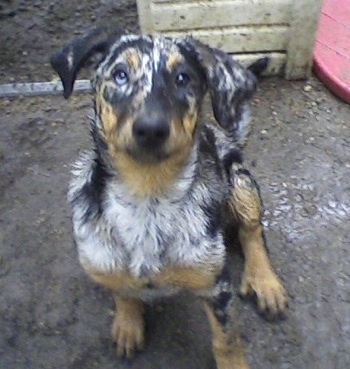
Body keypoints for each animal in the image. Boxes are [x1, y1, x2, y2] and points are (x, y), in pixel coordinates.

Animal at [51, 26, 288, 368]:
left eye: (183, 78)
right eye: (120, 74)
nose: (151, 129)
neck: (148, 195)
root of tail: (227, 136)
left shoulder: (217, 286)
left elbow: (227, 341)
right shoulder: (103, 260)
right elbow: (122, 290)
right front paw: (128, 324)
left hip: (241, 183)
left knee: (252, 231)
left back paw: (264, 281)